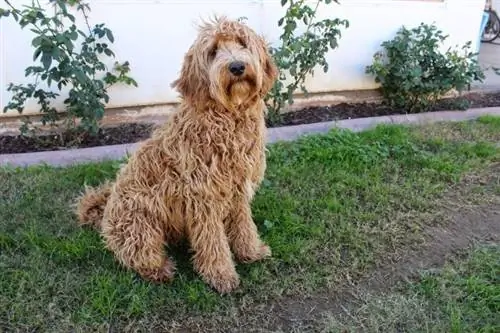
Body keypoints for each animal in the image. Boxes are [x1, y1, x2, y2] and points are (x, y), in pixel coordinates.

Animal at [75, 16, 278, 294]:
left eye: (242, 43)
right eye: (213, 51)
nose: (237, 66)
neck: (226, 117)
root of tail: (105, 213)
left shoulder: (237, 189)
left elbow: (244, 224)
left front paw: (251, 251)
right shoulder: (203, 197)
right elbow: (213, 241)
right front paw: (221, 275)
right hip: (141, 224)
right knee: (135, 255)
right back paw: (160, 269)